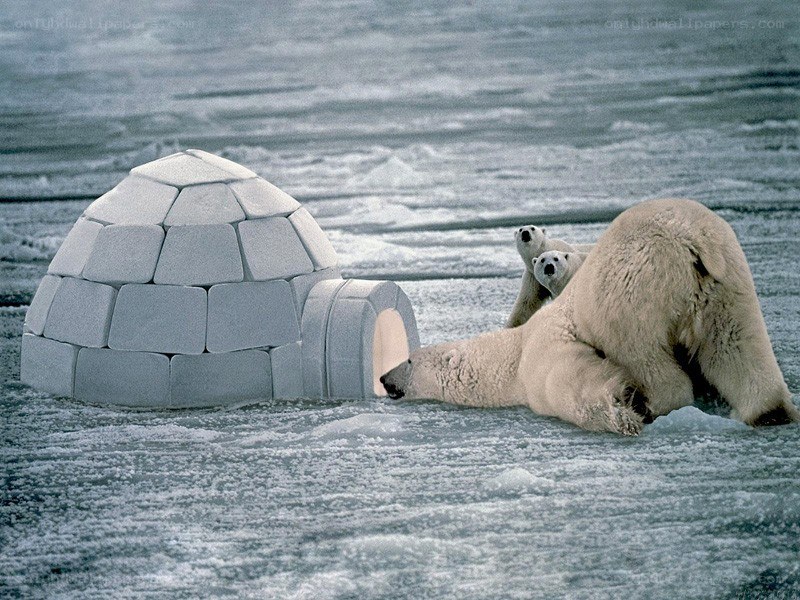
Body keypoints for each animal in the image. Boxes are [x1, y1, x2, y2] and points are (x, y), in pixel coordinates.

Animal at [381, 199, 799, 435]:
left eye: (409, 358)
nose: (384, 378)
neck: (511, 354)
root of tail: (692, 240)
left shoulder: (544, 348)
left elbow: (568, 380)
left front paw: (624, 407)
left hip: (632, 289)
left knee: (644, 352)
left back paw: (657, 402)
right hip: (726, 282)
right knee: (737, 345)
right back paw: (770, 412)